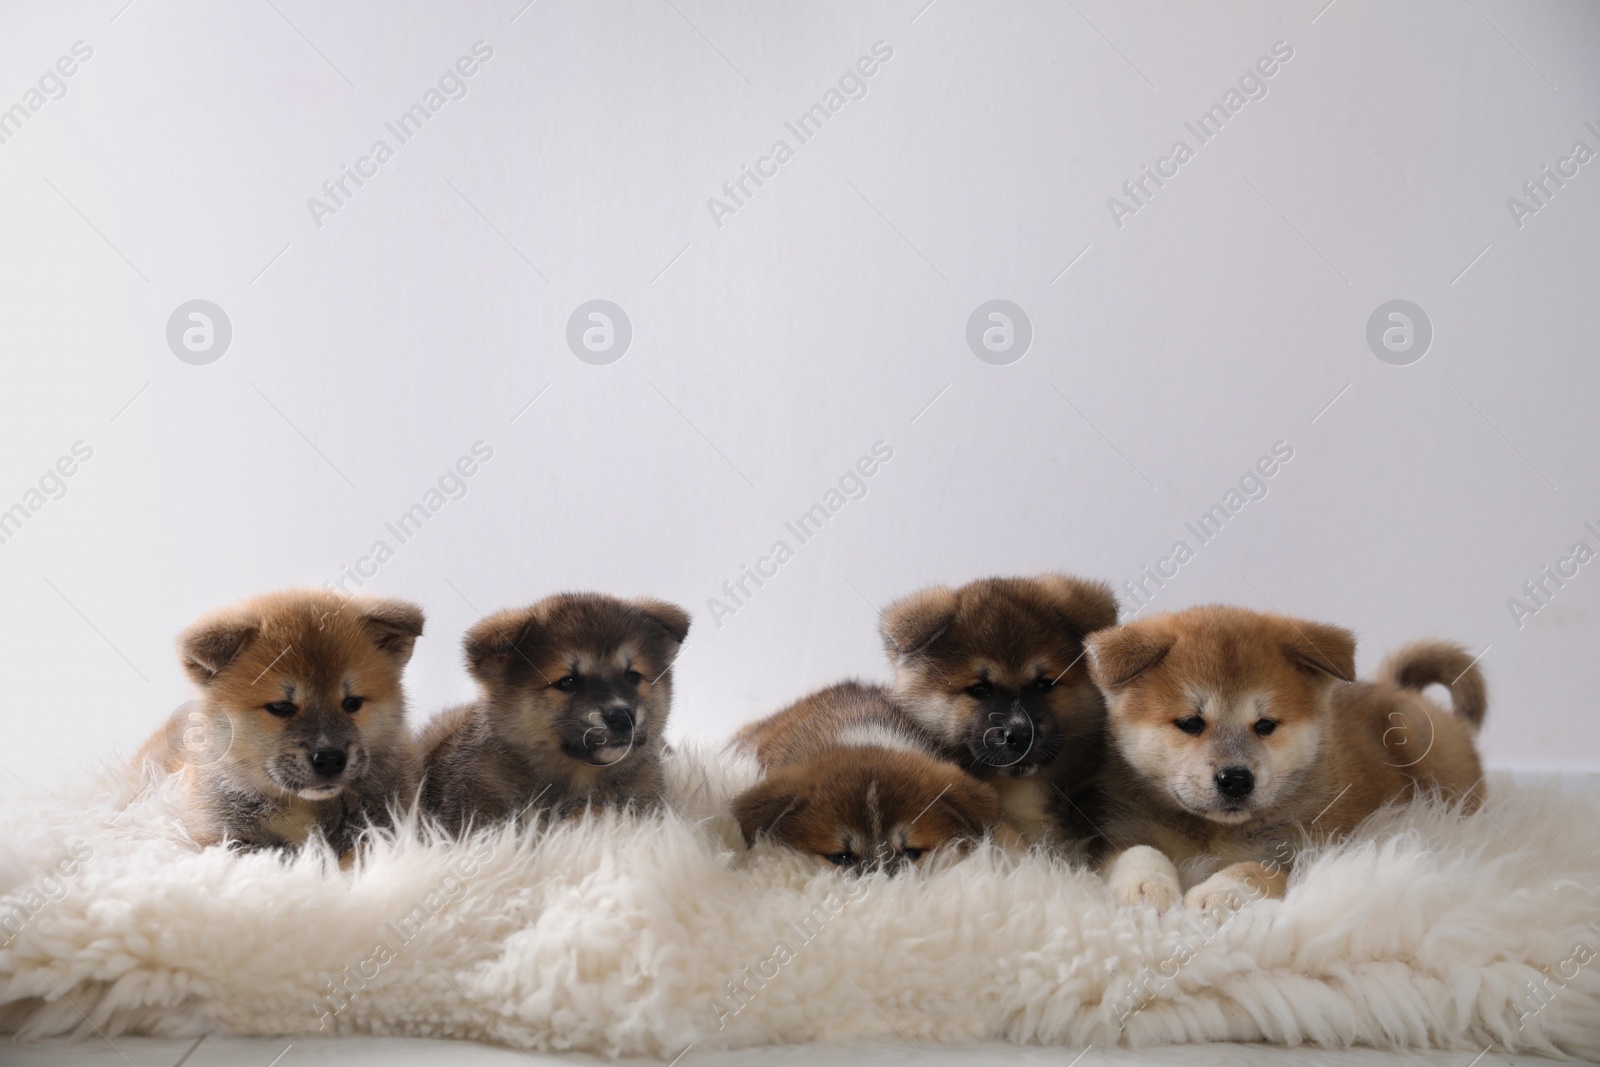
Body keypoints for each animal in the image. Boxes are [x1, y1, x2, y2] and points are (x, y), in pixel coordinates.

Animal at [1088, 604, 1484, 915]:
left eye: (1266, 725)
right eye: (1190, 723)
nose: (1236, 780)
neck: (1212, 832)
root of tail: (1397, 689)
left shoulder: (1303, 853)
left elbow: (1249, 869)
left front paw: (1216, 893)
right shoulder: (1117, 834)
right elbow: (1139, 851)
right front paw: (1145, 887)